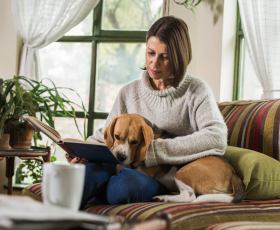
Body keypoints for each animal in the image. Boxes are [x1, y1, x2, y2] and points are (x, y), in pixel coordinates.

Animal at [104, 113, 246, 203]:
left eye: (135, 142)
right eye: (117, 136)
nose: (121, 157)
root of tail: (232, 172)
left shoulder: (144, 170)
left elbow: (119, 167)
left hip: (183, 172)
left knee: (190, 196)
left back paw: (164, 197)